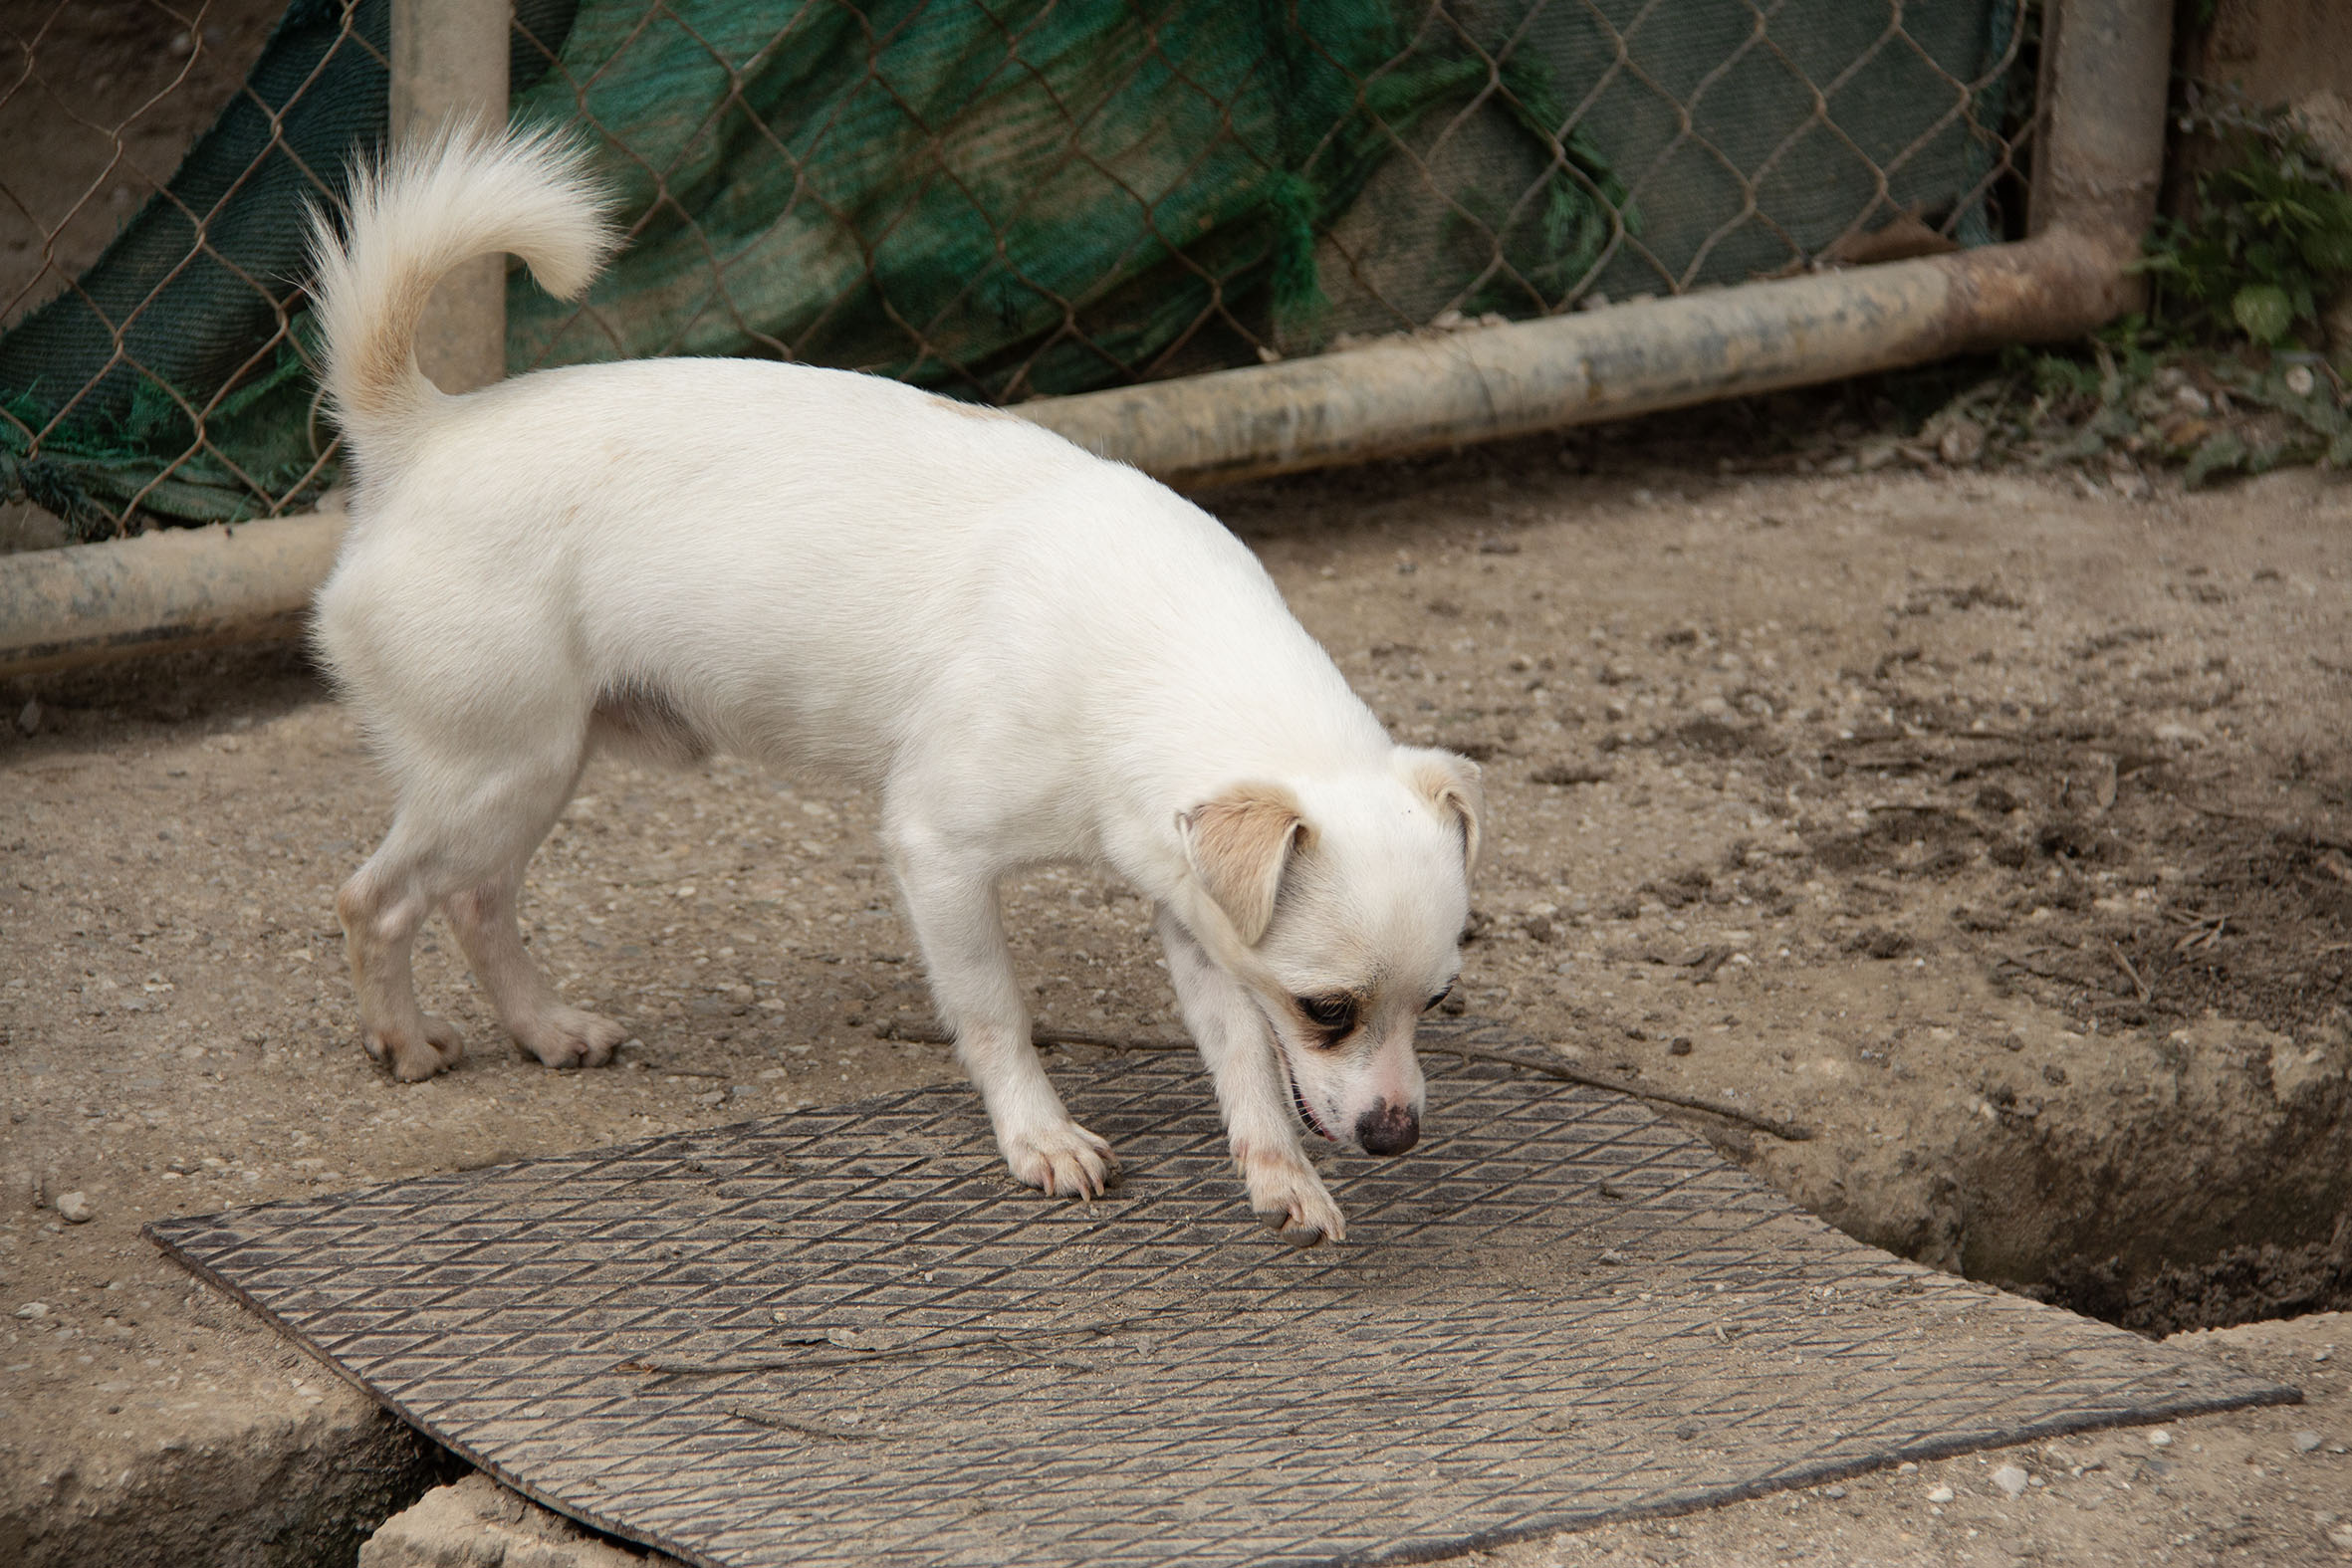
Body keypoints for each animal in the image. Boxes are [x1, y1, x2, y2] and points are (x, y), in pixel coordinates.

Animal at [307, 127, 1481, 1246]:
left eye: (1438, 1001)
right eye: (1326, 1009)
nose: (1397, 1134)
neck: (1151, 650)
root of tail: (422, 432)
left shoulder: (1194, 915)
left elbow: (1240, 1056)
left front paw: (1279, 1176)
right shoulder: (939, 858)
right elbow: (998, 1014)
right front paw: (1040, 1137)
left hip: (530, 776)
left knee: (474, 899)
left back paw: (543, 1029)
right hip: (500, 770)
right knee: (376, 898)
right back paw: (400, 1040)